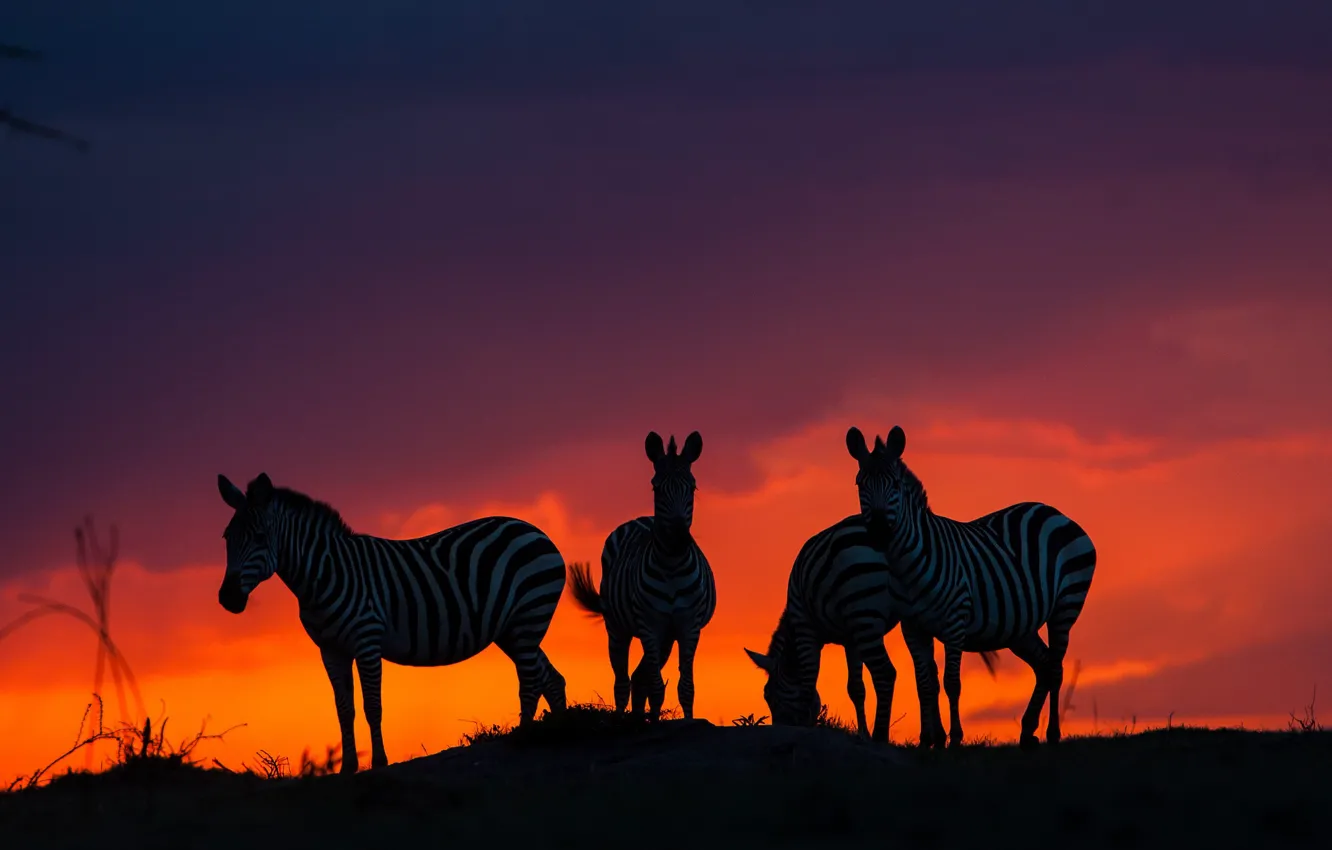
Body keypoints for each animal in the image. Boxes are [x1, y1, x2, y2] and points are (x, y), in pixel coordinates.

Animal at [215, 472, 569, 773]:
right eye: (227, 537)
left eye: (260, 537)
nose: (228, 598)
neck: (323, 574)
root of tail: (534, 529)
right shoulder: (331, 650)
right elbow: (344, 709)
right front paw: (347, 768)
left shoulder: (367, 640)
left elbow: (373, 706)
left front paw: (379, 763)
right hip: (513, 629)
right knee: (551, 678)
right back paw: (557, 733)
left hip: (528, 617)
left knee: (530, 681)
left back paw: (524, 738)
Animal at [567, 430, 716, 721]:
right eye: (656, 488)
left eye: (693, 487)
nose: (679, 538)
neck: (672, 566)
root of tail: (642, 518)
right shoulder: (650, 626)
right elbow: (656, 688)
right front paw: (656, 723)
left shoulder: (688, 626)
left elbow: (685, 687)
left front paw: (687, 721)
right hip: (617, 629)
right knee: (623, 681)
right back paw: (625, 719)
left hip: (666, 638)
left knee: (639, 677)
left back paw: (639, 717)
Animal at [744, 515, 999, 743]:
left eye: (768, 695)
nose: (781, 730)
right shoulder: (851, 638)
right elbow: (856, 689)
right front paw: (862, 734)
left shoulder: (806, 627)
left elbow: (809, 684)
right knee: (925, 674)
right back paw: (930, 737)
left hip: (865, 614)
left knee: (886, 673)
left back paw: (882, 736)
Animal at [845, 425, 1098, 749]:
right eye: (859, 483)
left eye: (896, 485)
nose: (878, 532)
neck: (907, 568)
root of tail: (1055, 512)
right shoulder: (913, 628)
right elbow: (924, 684)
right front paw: (928, 741)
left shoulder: (955, 621)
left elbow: (952, 683)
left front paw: (954, 739)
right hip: (1020, 626)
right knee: (1043, 666)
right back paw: (1027, 731)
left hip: (1065, 608)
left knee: (1055, 667)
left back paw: (1053, 734)